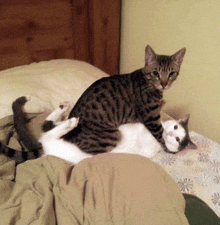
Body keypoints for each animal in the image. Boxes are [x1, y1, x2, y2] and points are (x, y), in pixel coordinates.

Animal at [0, 96, 196, 163]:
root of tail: (43, 151)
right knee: (46, 126)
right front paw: (161, 103)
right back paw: (64, 110)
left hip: (58, 144)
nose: (169, 133)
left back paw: (70, 121)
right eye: (175, 126)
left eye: (178, 140)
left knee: (49, 133)